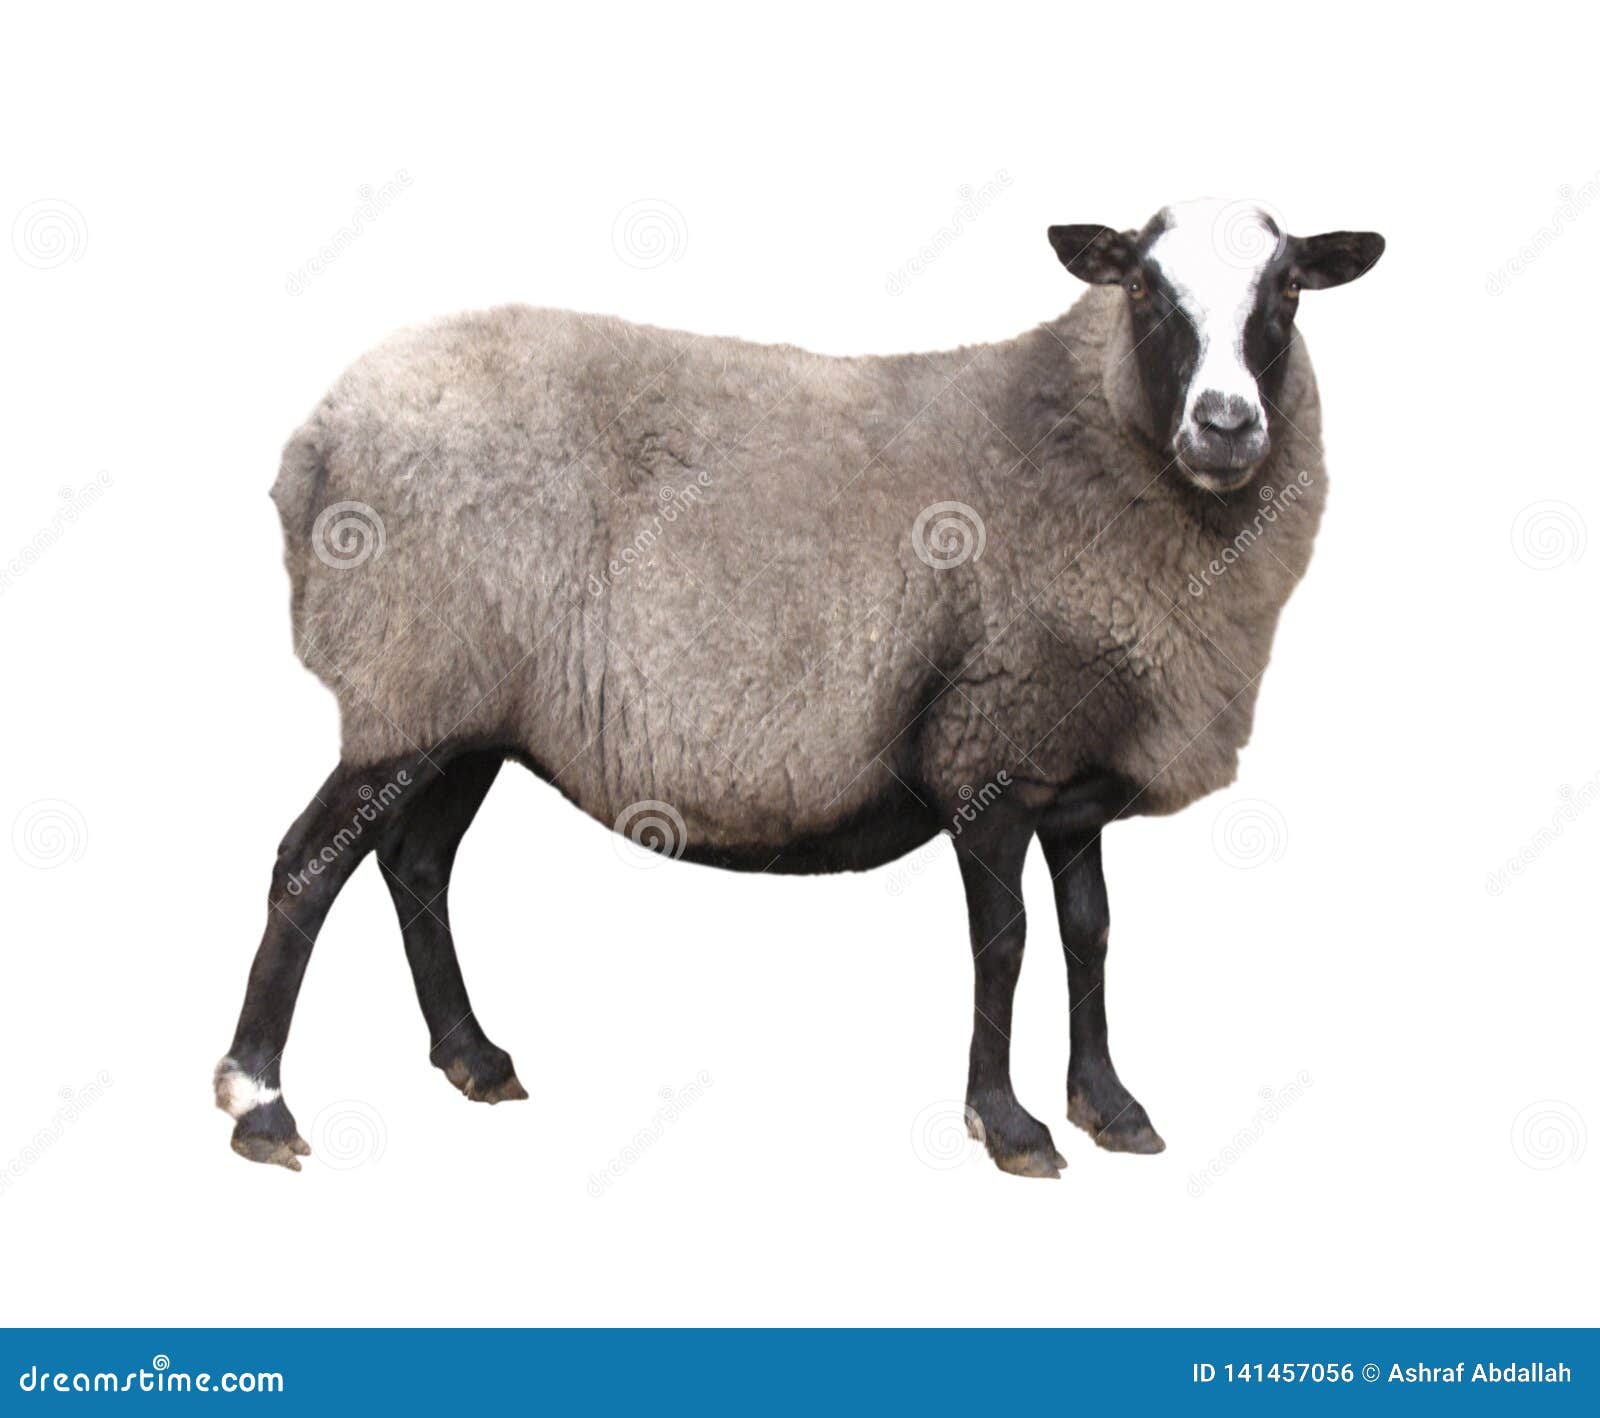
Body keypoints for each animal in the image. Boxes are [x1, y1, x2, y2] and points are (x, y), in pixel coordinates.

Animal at [217, 197, 1383, 1178]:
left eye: (1287, 287)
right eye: (1142, 287)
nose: (1224, 425)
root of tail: (317, 436)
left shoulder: (1070, 760)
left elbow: (1090, 931)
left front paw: (1110, 1105)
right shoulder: (985, 739)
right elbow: (1003, 944)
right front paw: (1006, 1124)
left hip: (465, 707)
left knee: (414, 864)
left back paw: (473, 1058)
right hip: (407, 672)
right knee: (307, 866)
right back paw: (259, 1102)